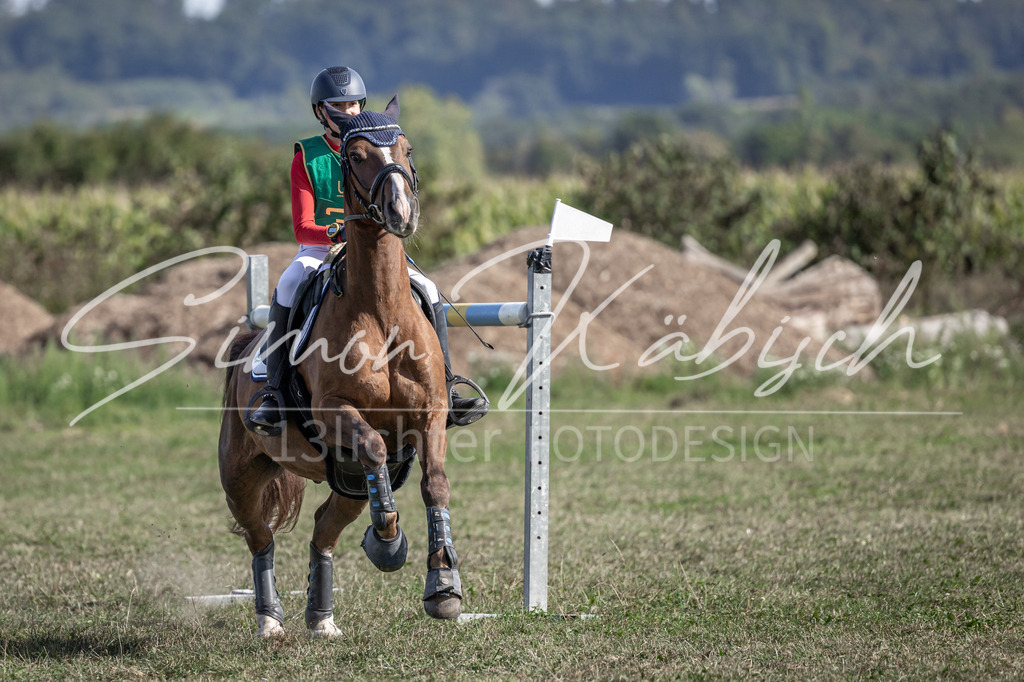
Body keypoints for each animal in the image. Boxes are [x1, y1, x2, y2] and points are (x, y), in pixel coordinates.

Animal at [217, 97, 462, 638]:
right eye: (356, 156)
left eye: (406, 148)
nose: (401, 212)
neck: (382, 310)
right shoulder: (335, 410)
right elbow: (373, 445)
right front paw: (388, 543)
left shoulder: (431, 412)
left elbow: (434, 483)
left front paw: (443, 585)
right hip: (241, 476)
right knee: (260, 537)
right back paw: (270, 621)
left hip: (346, 484)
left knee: (323, 531)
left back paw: (321, 618)